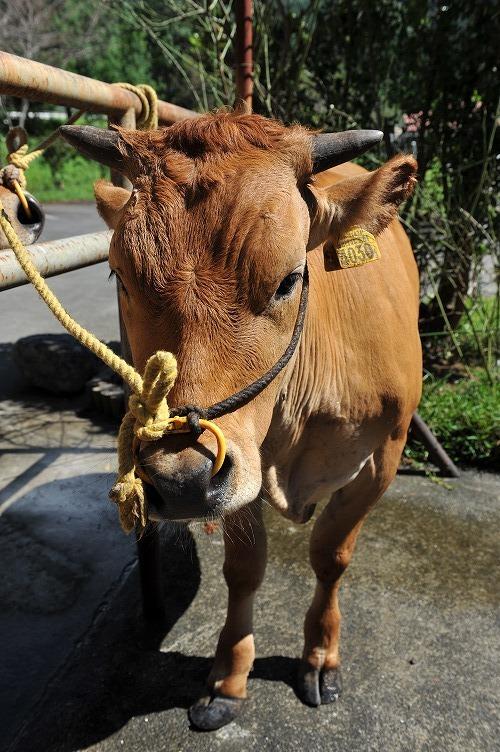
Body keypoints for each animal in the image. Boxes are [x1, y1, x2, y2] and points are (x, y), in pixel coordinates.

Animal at [62, 114, 422, 732]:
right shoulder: (237, 473)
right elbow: (244, 569)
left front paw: (321, 656)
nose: (180, 478)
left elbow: (332, 555)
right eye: (119, 276)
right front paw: (229, 677)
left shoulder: (384, 456)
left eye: (289, 279)